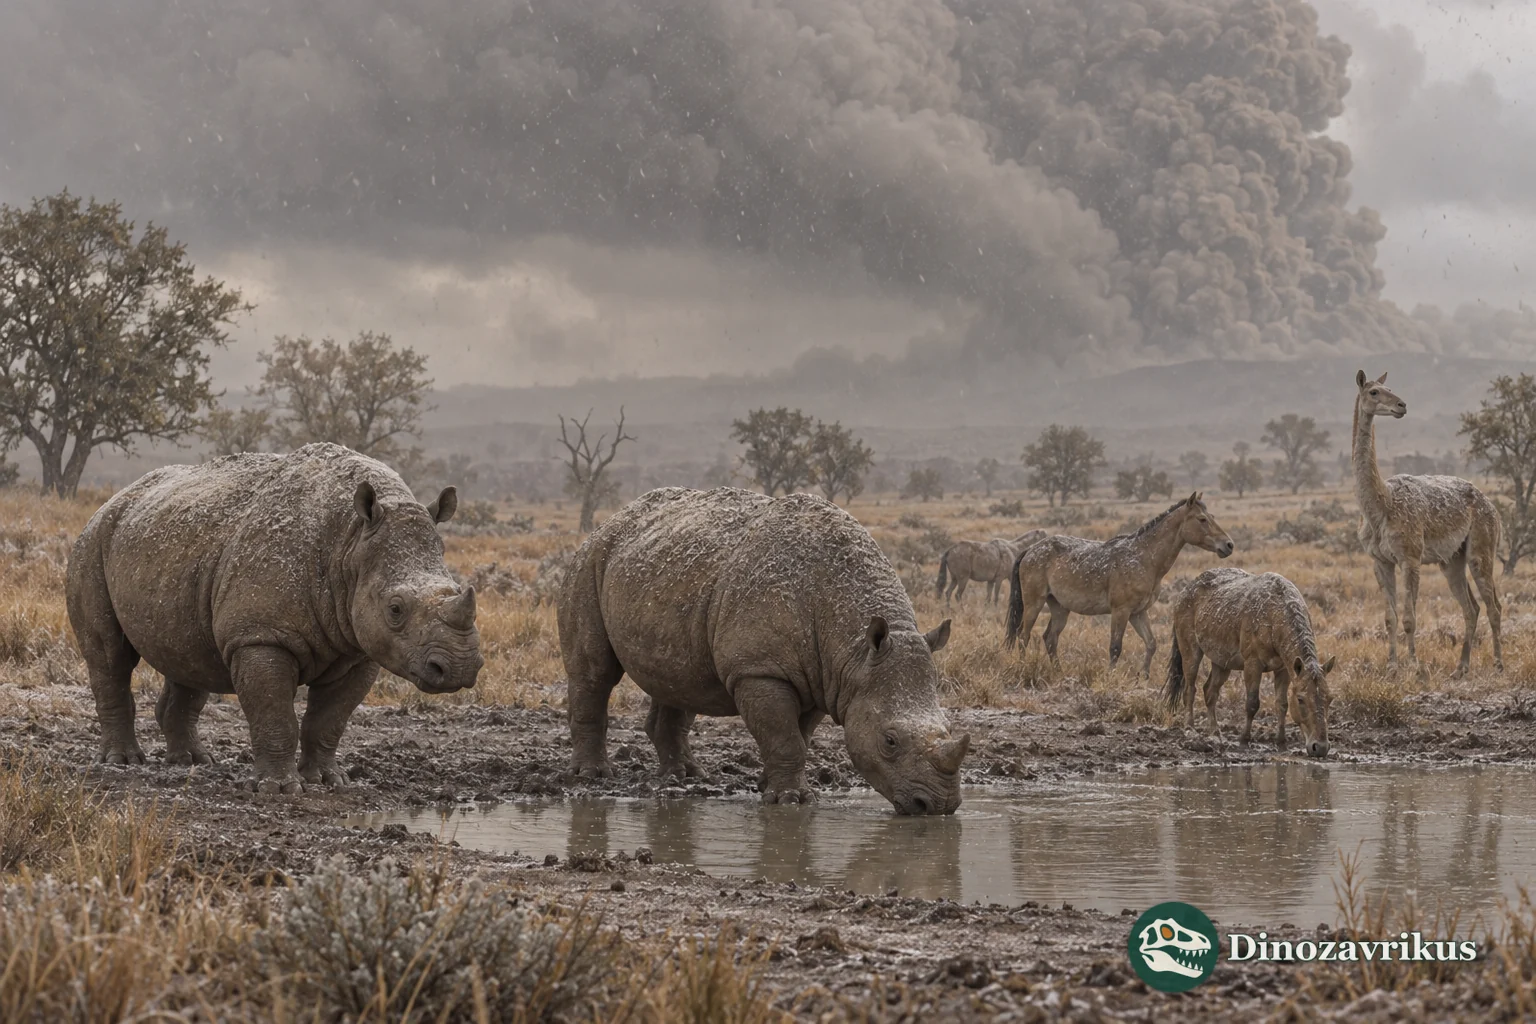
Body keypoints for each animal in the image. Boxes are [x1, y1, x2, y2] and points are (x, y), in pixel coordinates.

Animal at [1004, 493, 1233, 676]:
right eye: (1202, 519)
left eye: (1211, 517)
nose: (1229, 545)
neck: (1143, 558)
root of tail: (1030, 550)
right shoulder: (1121, 611)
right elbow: (1115, 647)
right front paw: (1111, 676)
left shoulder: (1138, 613)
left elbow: (1151, 644)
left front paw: (1143, 676)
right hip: (1034, 603)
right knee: (1023, 635)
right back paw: (1024, 667)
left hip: (1060, 607)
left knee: (1050, 638)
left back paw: (1058, 672)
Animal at [1164, 567, 1335, 757]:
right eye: (1301, 699)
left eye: (1330, 698)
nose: (1320, 747)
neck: (1274, 616)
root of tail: (1184, 592)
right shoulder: (1253, 664)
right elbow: (1252, 703)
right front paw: (1244, 740)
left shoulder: (1284, 668)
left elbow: (1281, 704)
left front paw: (1281, 742)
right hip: (1190, 651)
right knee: (1190, 689)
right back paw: (1190, 729)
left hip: (1221, 662)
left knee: (1209, 692)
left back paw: (1215, 732)